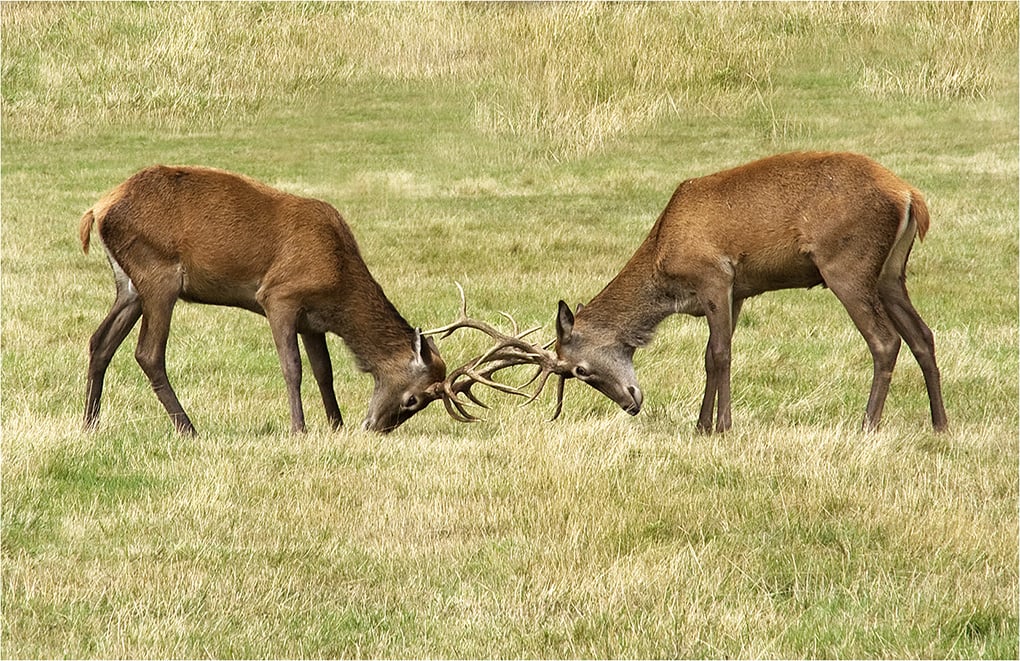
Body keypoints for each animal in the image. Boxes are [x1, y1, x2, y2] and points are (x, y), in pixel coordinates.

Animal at [79, 165, 510, 435]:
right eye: (413, 400)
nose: (374, 429)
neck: (338, 279)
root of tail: (97, 208)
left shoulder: (311, 321)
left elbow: (325, 371)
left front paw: (335, 425)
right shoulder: (279, 297)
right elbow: (293, 367)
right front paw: (299, 428)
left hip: (130, 285)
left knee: (100, 341)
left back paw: (89, 423)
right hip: (159, 275)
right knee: (148, 352)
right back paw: (188, 428)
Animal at [444, 152, 949, 434]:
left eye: (580, 370)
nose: (631, 403)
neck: (664, 269)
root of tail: (911, 196)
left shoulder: (716, 276)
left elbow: (721, 354)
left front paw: (722, 426)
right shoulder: (738, 292)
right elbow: (708, 355)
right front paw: (701, 424)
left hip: (846, 263)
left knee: (885, 340)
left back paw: (868, 425)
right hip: (891, 273)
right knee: (923, 335)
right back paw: (940, 425)